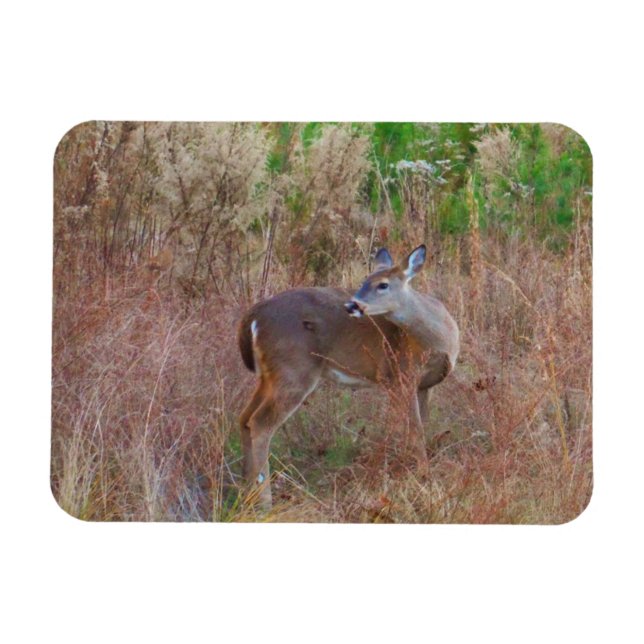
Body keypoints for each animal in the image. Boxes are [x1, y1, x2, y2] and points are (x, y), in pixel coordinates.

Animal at [237, 244, 459, 509]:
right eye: (364, 280)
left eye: (382, 284)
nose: (352, 305)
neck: (440, 340)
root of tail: (253, 316)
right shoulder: (398, 376)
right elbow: (414, 430)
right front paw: (423, 477)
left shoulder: (423, 385)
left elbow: (418, 426)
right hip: (294, 370)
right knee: (260, 423)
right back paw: (264, 502)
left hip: (268, 375)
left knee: (244, 418)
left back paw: (246, 493)